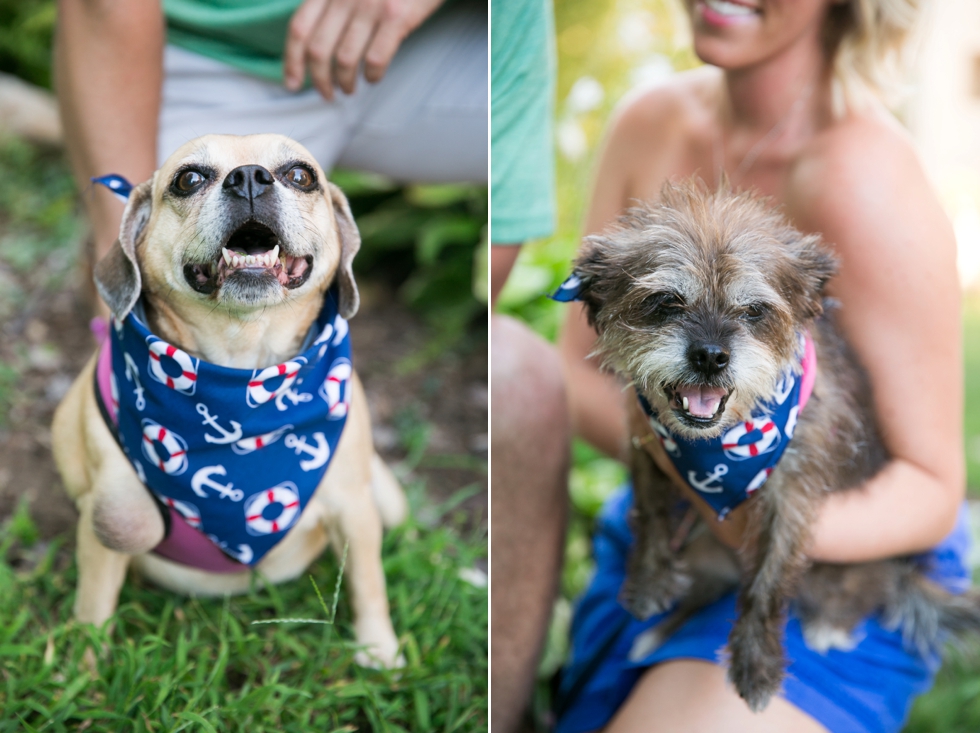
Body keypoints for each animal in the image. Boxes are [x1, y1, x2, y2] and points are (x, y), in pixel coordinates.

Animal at [49, 133, 408, 668]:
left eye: (301, 175)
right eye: (189, 179)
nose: (249, 177)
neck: (240, 370)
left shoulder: (354, 508)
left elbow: (369, 580)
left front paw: (378, 649)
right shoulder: (109, 518)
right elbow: (93, 607)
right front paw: (82, 673)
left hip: (387, 502)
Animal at [572, 180, 980, 712]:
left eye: (753, 311)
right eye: (665, 302)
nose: (710, 356)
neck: (717, 447)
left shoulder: (792, 498)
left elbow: (767, 584)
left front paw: (756, 665)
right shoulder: (645, 446)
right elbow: (654, 515)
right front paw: (649, 581)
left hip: (854, 567)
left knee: (869, 589)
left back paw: (832, 622)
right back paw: (658, 633)